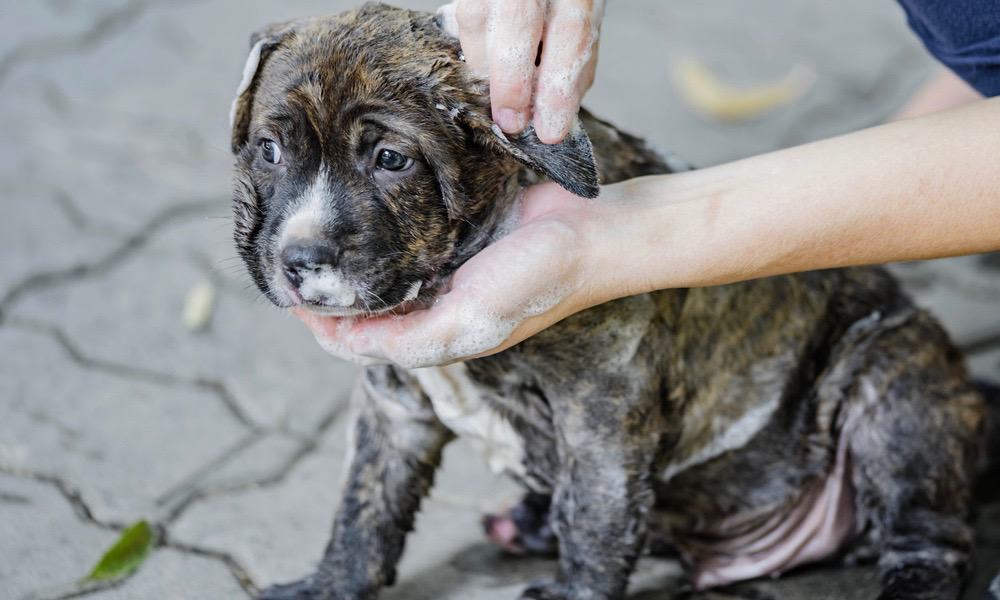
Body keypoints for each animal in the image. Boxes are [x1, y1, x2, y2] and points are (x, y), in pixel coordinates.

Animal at [227, 5, 984, 600]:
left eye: (391, 160)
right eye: (268, 150)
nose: (298, 260)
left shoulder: (601, 410)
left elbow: (594, 511)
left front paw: (575, 589)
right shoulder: (393, 410)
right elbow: (366, 506)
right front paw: (331, 584)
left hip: (893, 381)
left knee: (929, 537)